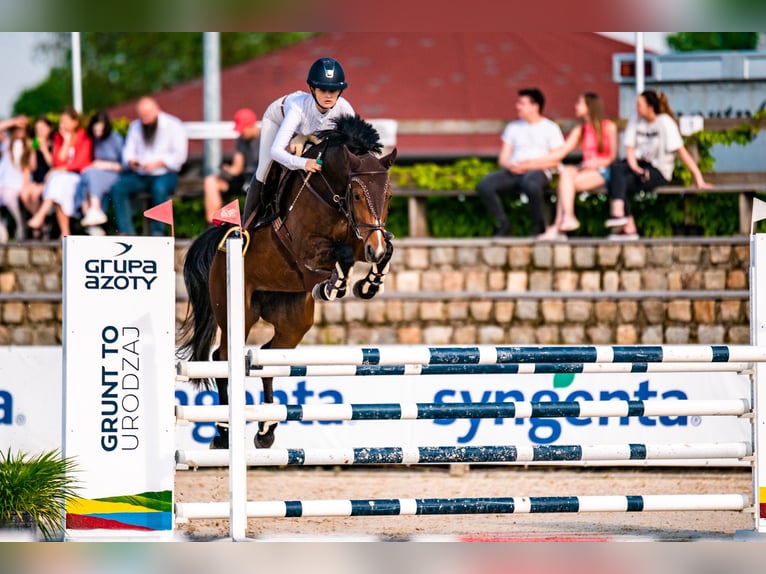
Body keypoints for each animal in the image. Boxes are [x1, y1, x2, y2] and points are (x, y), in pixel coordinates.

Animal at [178, 116, 400, 450]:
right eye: (358, 195)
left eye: (387, 196)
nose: (373, 248)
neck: (330, 194)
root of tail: (220, 245)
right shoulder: (307, 247)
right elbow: (342, 254)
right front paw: (334, 285)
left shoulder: (362, 237)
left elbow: (384, 249)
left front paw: (369, 283)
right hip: (237, 312)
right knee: (223, 358)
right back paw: (224, 431)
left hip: (293, 320)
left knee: (268, 357)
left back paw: (267, 429)